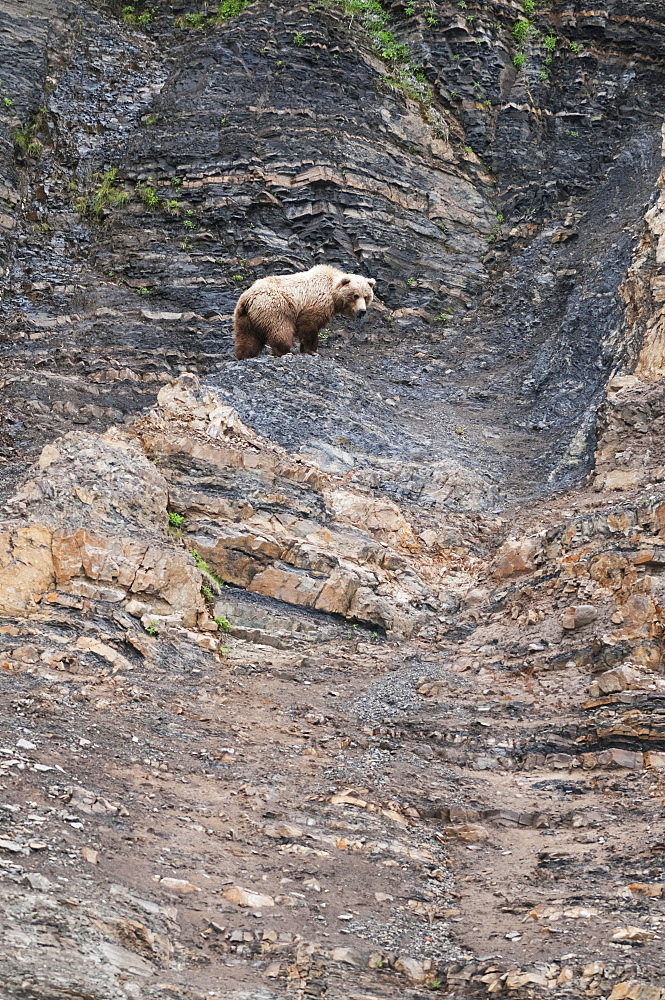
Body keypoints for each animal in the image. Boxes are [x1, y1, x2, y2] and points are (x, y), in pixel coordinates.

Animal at [232, 264, 374, 362]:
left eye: (366, 296)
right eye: (355, 295)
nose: (362, 311)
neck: (333, 293)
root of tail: (248, 298)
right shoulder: (316, 301)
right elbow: (309, 325)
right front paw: (311, 350)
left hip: (244, 317)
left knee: (247, 338)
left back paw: (244, 355)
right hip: (275, 307)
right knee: (280, 329)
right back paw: (286, 351)